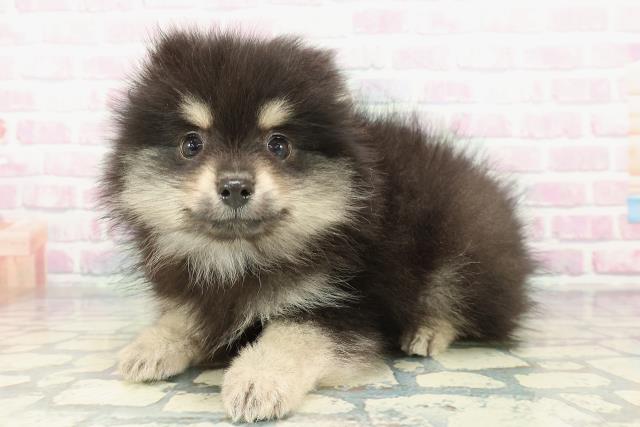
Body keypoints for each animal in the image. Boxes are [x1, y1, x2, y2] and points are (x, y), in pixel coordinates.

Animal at [101, 29, 534, 422]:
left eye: (279, 145)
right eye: (192, 144)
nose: (236, 185)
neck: (239, 258)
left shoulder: (344, 304)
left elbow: (292, 335)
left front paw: (257, 380)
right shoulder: (199, 290)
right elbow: (184, 316)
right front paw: (150, 345)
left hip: (462, 239)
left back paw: (427, 330)